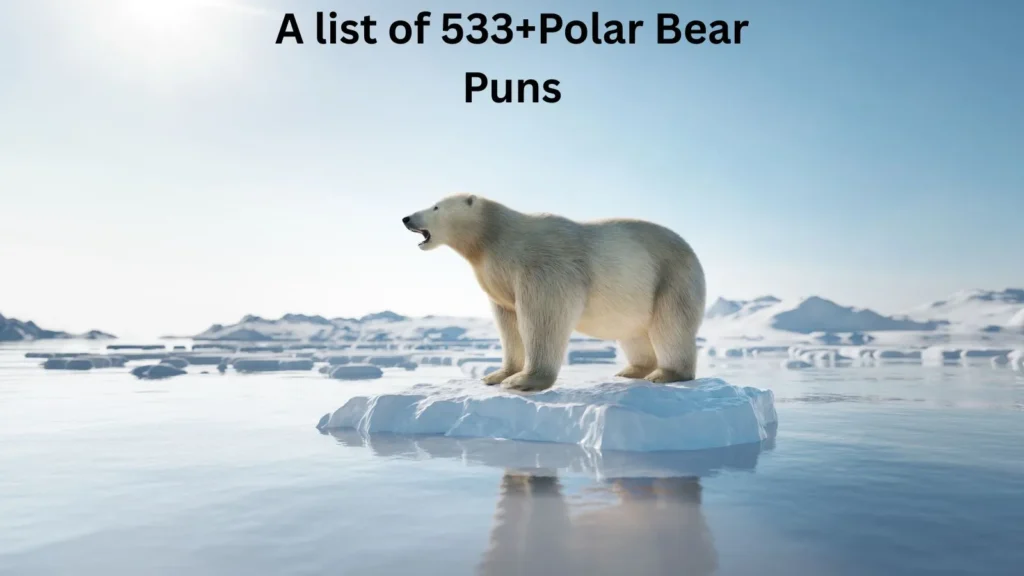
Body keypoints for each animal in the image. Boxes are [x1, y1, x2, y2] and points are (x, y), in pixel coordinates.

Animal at [402, 194, 706, 392]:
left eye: (435, 206)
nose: (406, 218)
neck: (494, 237)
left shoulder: (542, 265)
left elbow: (543, 315)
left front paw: (523, 381)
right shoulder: (499, 278)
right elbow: (508, 322)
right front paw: (497, 374)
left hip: (671, 277)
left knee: (670, 325)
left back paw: (666, 373)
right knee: (634, 332)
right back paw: (631, 371)